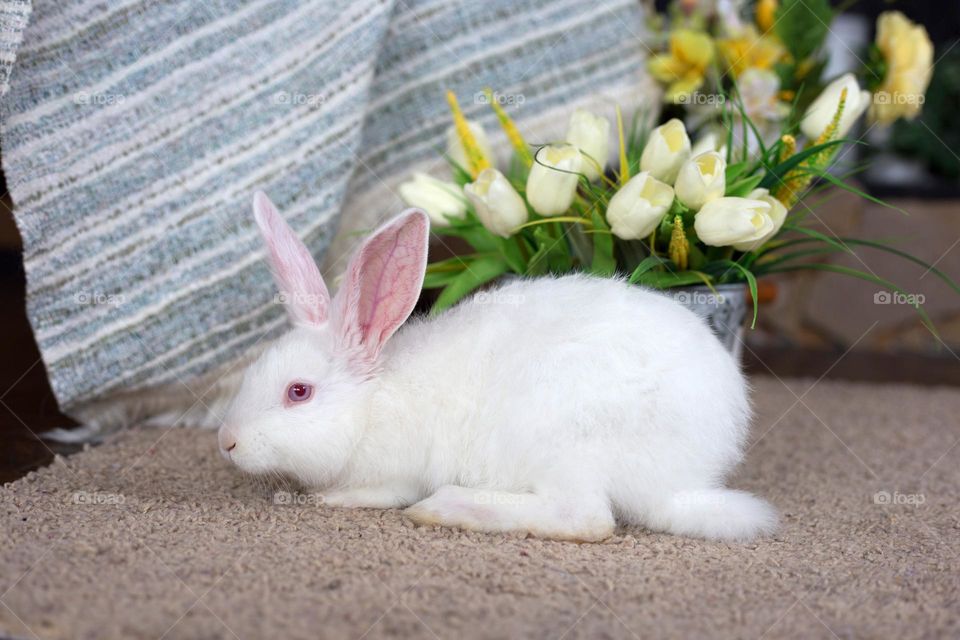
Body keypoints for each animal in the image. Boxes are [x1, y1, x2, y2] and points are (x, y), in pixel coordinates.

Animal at [223, 192, 780, 544]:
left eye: (299, 392)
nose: (227, 443)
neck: (370, 402)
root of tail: (681, 482)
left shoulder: (394, 472)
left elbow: (375, 493)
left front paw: (328, 500)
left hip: (562, 439)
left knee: (585, 519)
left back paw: (447, 508)